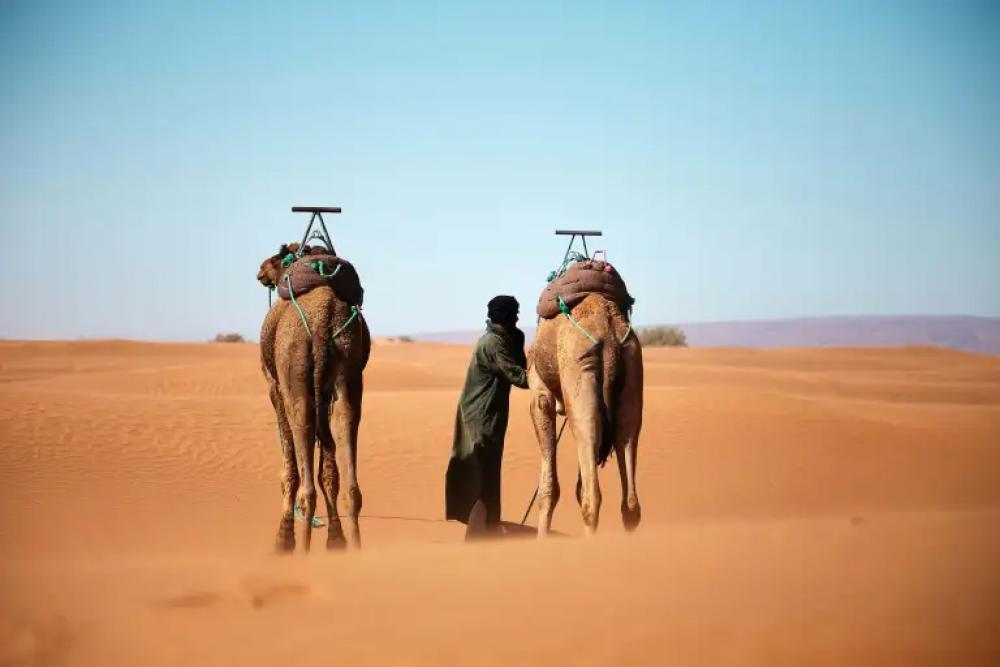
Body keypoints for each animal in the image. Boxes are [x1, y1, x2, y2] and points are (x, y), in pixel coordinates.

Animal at [256, 245, 370, 552]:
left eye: (275, 257)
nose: (260, 272)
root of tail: (322, 320)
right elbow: (329, 471)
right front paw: (336, 540)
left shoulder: (275, 388)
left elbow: (289, 467)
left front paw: (283, 539)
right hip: (348, 368)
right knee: (346, 426)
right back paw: (355, 546)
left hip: (294, 369)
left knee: (302, 431)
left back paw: (302, 548)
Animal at [532, 294, 640, 536]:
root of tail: (609, 334)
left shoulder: (540, 394)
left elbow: (548, 490)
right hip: (632, 367)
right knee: (630, 502)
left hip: (580, 368)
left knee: (592, 498)